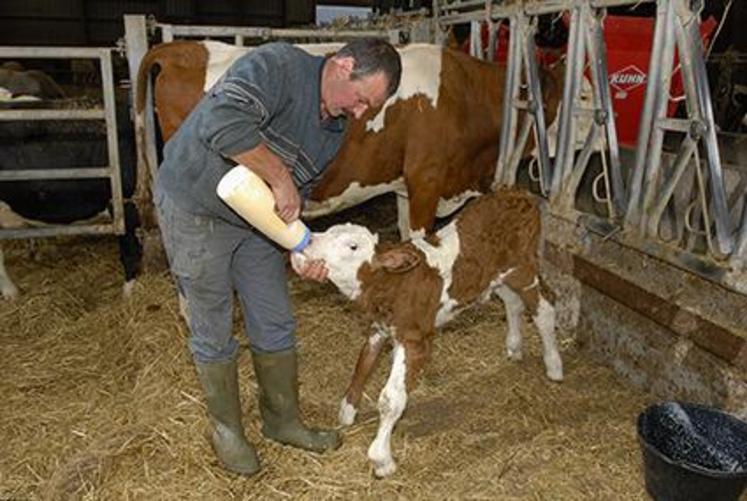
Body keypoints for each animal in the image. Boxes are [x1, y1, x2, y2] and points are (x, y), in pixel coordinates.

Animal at [290, 188, 564, 476]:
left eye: (352, 246)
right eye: (330, 230)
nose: (307, 242)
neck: (394, 282)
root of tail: (521, 193)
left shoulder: (415, 340)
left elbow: (391, 399)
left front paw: (381, 459)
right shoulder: (379, 328)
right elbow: (363, 365)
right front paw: (346, 413)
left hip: (523, 269)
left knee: (545, 309)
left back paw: (554, 365)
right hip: (495, 276)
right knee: (512, 303)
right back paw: (514, 347)